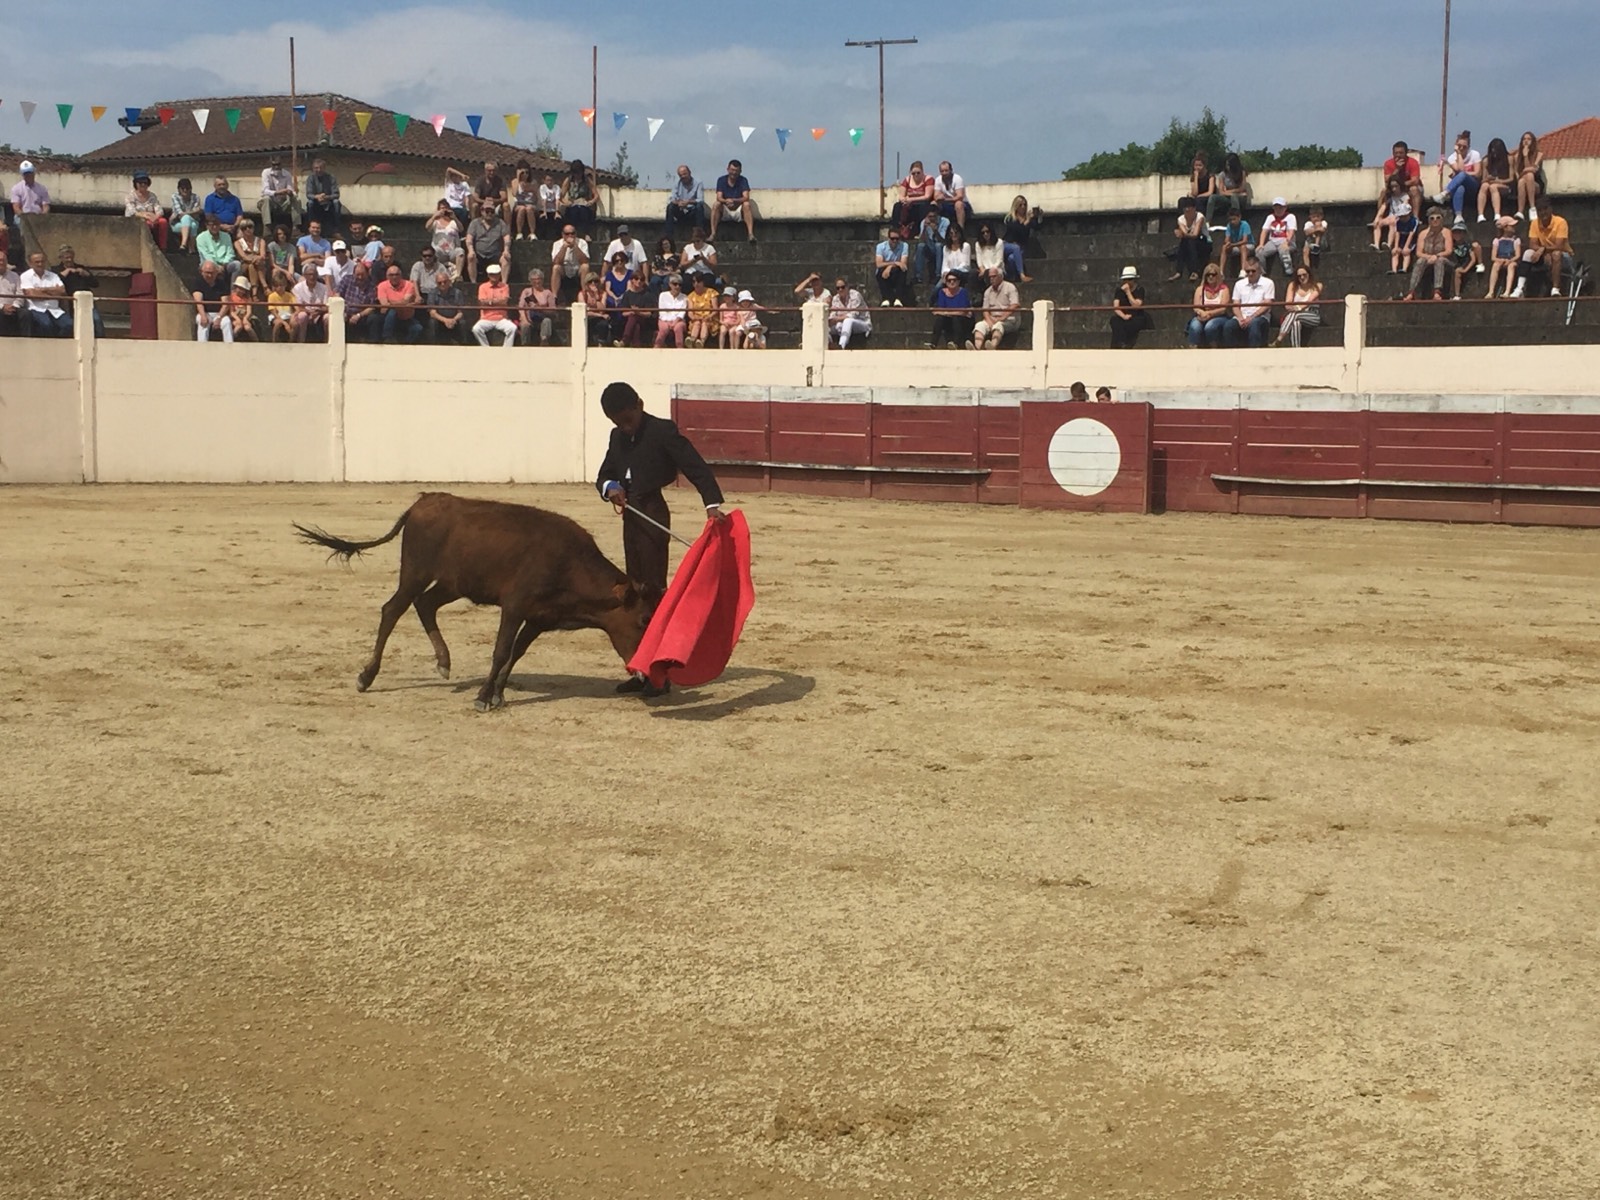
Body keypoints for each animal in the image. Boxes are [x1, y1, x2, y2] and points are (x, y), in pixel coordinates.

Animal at [294, 489, 649, 710]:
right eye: (642, 621)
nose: (643, 673)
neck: (571, 565)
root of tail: (423, 502)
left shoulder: (539, 618)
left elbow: (515, 653)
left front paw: (498, 694)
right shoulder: (515, 606)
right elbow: (501, 650)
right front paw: (483, 697)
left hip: (452, 583)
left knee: (426, 604)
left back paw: (444, 663)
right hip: (415, 572)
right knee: (393, 609)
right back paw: (367, 676)